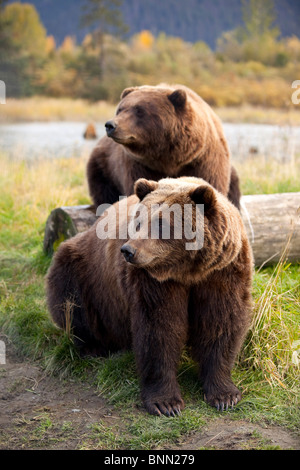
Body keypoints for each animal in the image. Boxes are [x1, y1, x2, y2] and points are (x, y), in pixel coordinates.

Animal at [47, 176, 253, 414]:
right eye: (138, 222)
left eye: (161, 224)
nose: (128, 250)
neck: (188, 271)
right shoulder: (153, 281)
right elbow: (158, 329)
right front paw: (166, 402)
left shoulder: (222, 271)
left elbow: (220, 323)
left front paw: (225, 395)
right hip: (86, 272)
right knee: (71, 303)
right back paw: (92, 346)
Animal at [86, 83, 241, 210]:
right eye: (120, 109)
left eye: (139, 110)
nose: (110, 125)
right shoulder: (140, 164)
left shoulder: (202, 158)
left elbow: (210, 182)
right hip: (104, 167)